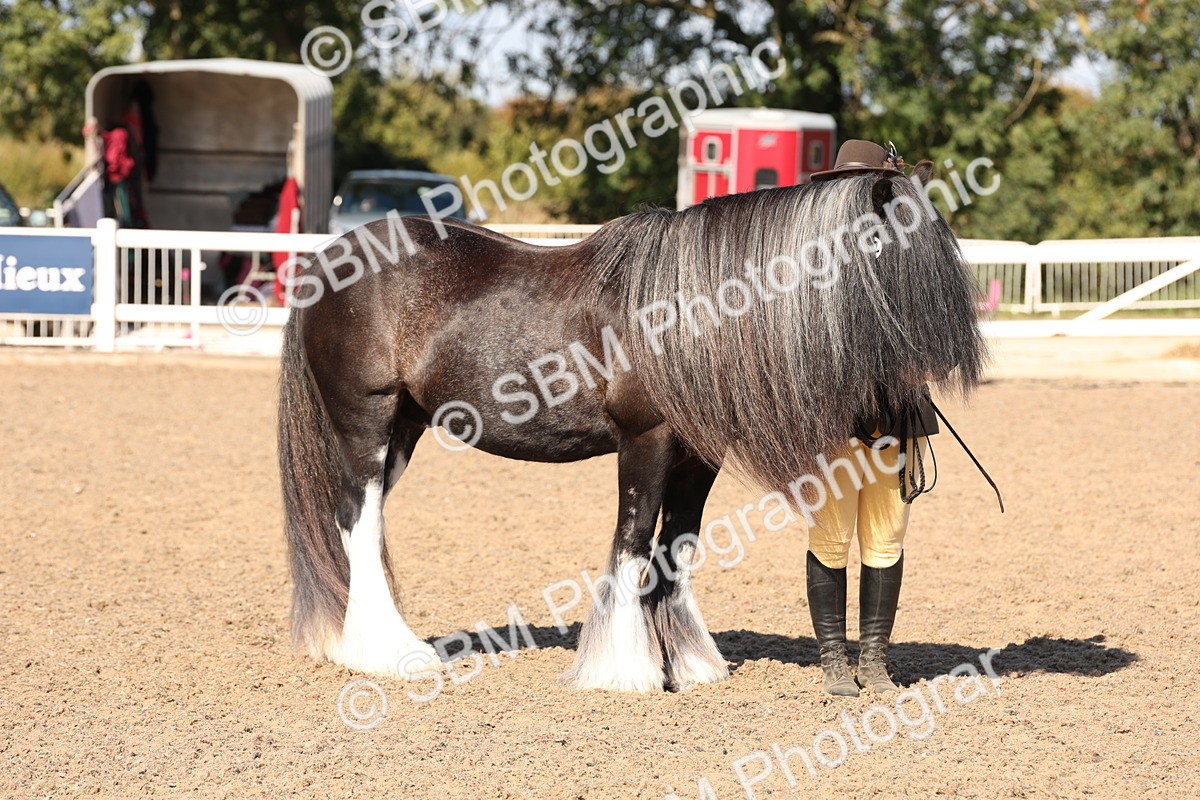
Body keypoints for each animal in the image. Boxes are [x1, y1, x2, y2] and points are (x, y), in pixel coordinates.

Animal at [277, 164, 985, 692]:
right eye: (882, 241)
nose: (951, 352)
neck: (693, 309)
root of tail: (329, 259)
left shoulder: (699, 457)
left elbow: (678, 545)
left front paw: (688, 665)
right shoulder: (645, 441)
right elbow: (633, 541)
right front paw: (625, 670)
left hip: (404, 429)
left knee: (355, 524)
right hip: (367, 423)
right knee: (357, 520)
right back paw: (387, 653)